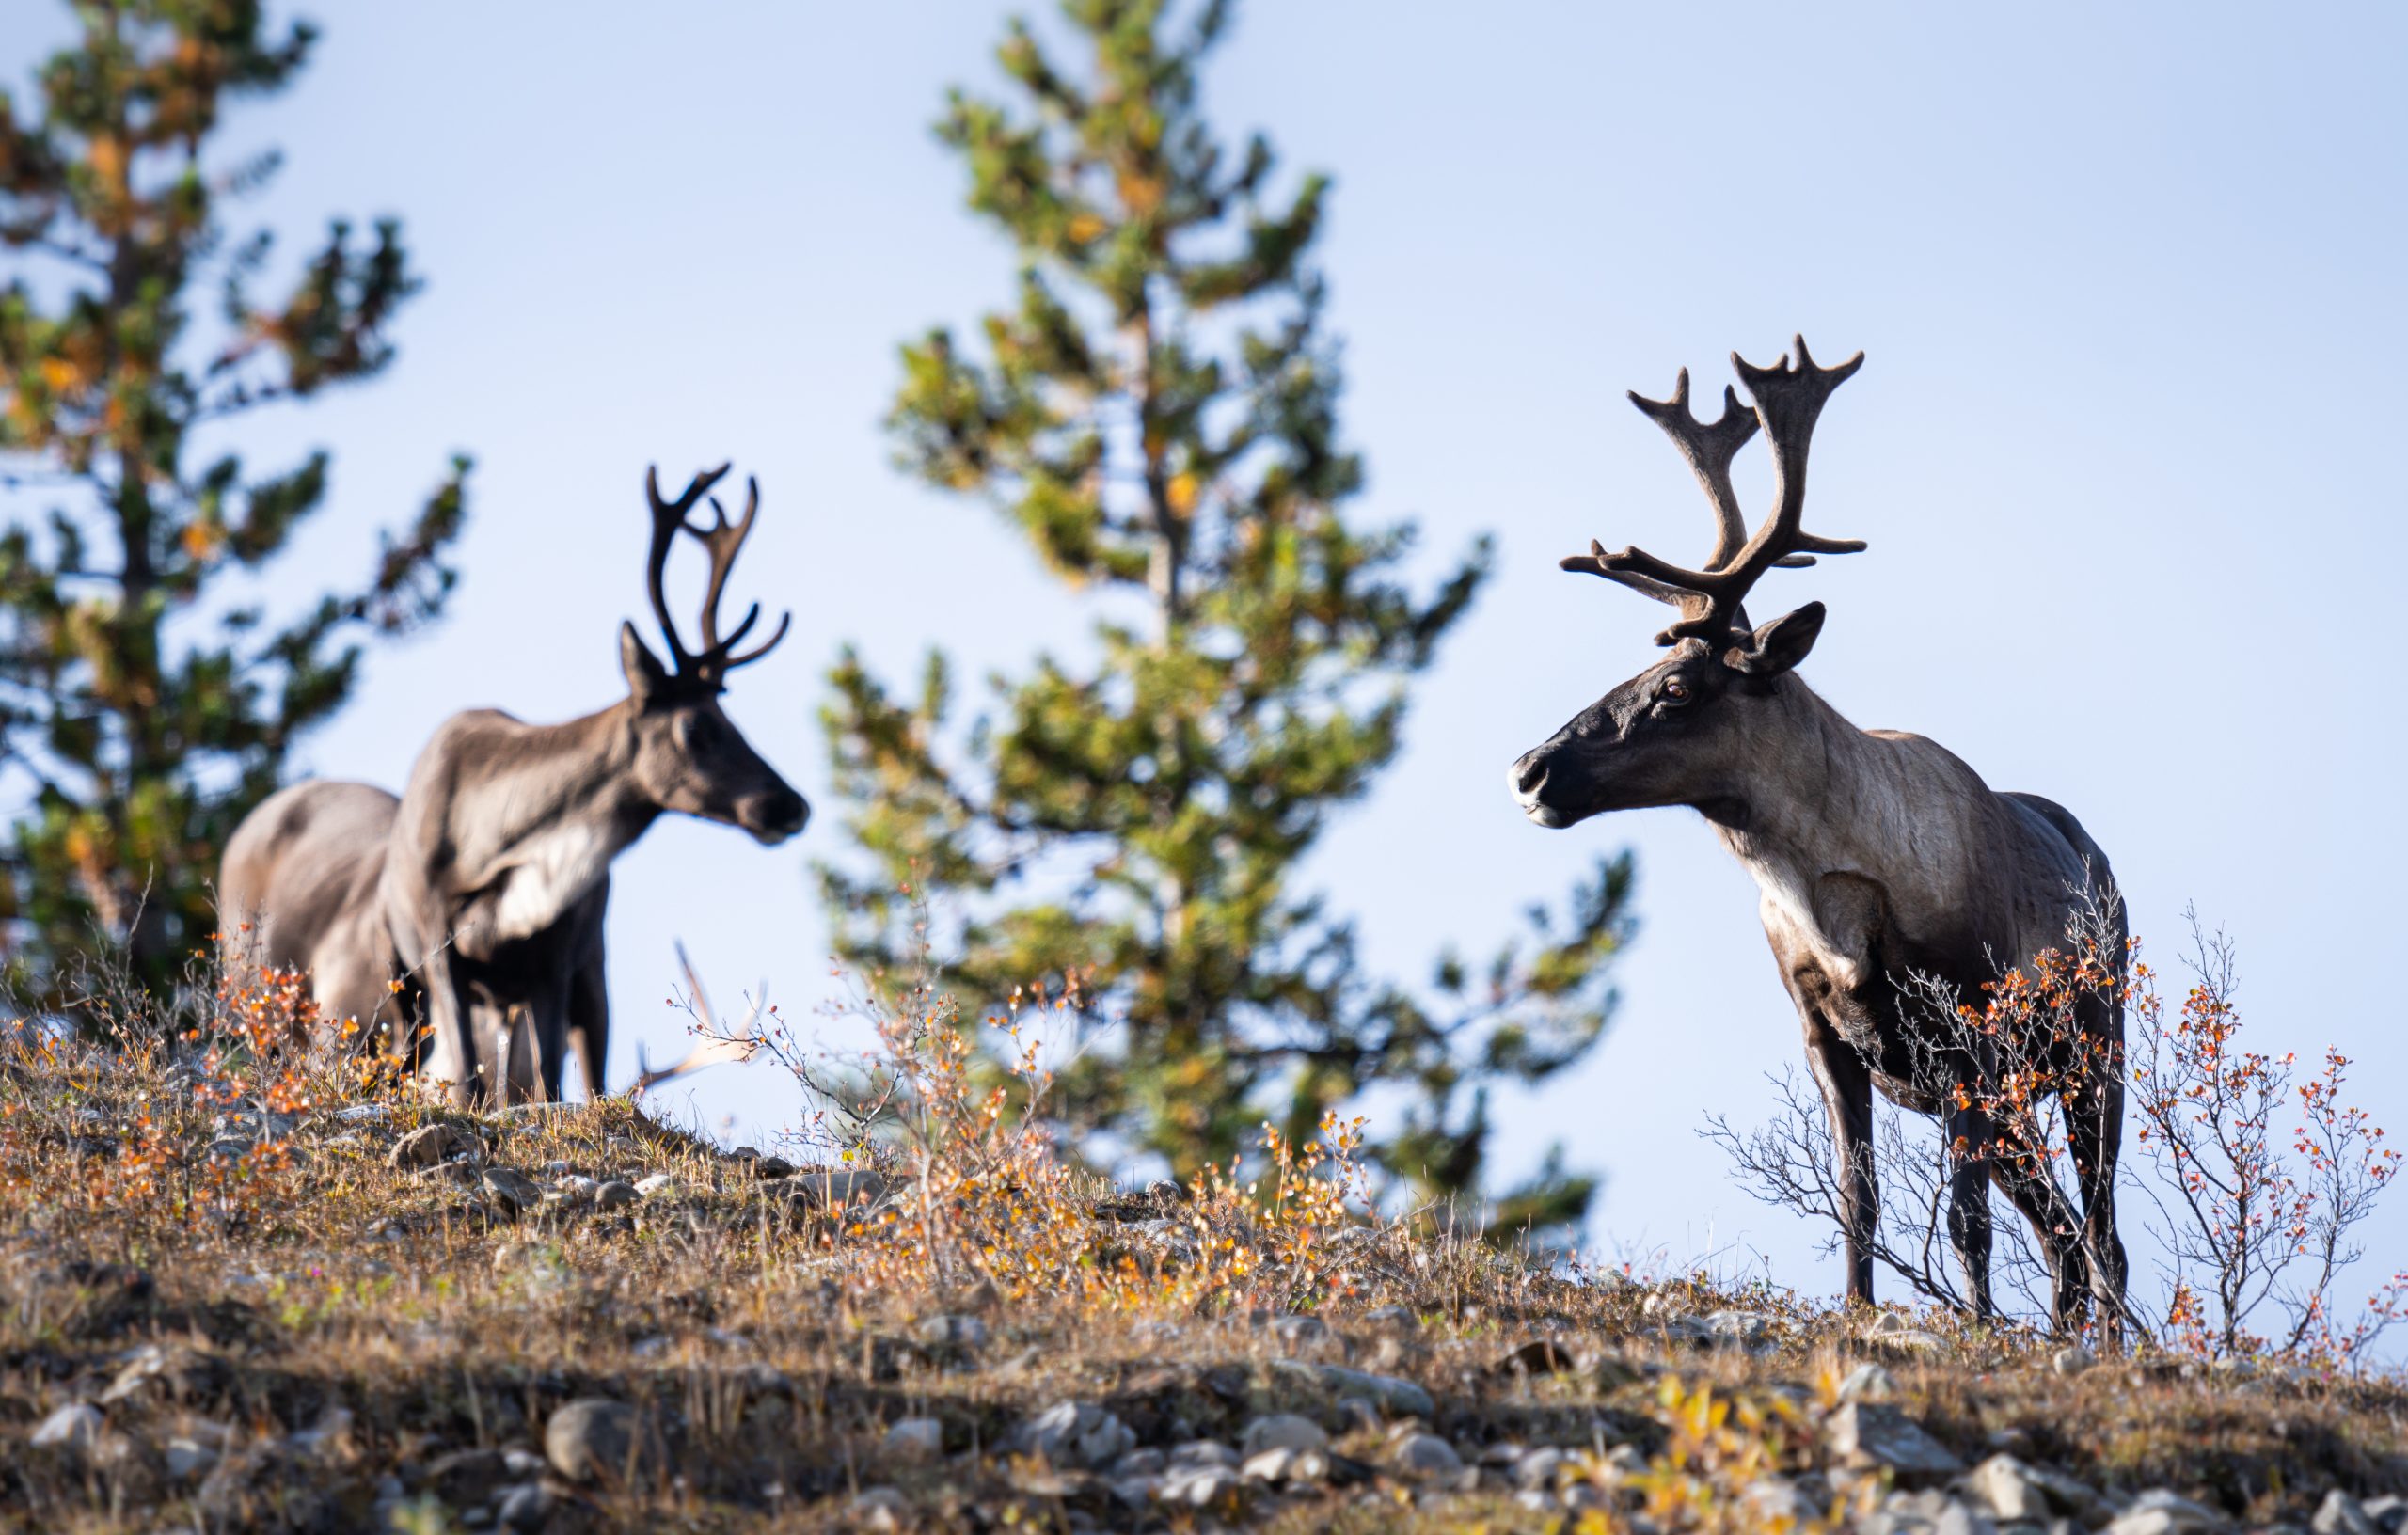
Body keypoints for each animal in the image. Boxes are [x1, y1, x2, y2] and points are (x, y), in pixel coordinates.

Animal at [219, 464, 807, 1107]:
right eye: (697, 725)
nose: (790, 805)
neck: (501, 851)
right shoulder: (435, 943)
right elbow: (470, 1081)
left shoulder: (553, 963)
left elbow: (549, 1083)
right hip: (275, 993)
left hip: (576, 979)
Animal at [1509, 338, 2127, 1334]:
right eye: (1646, 665)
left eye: (1679, 687)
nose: (1529, 771)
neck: (1834, 903)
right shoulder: (1824, 1035)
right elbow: (1856, 1196)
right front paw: (1857, 1310)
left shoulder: (1972, 1031)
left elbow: (1964, 1218)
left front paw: (1979, 1326)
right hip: (2016, 1094)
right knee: (2062, 1236)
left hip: (2096, 1044)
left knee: (2102, 1231)